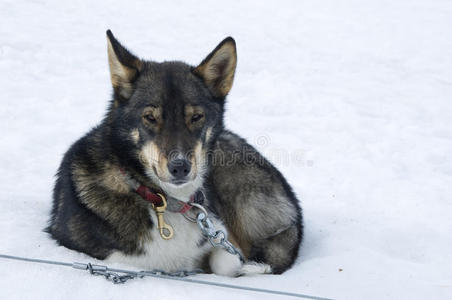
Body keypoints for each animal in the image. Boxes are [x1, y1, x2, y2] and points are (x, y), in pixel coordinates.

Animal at [46, 31, 302, 276]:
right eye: (150, 118)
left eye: (196, 117)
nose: (180, 167)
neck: (161, 200)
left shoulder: (219, 233)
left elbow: (227, 262)